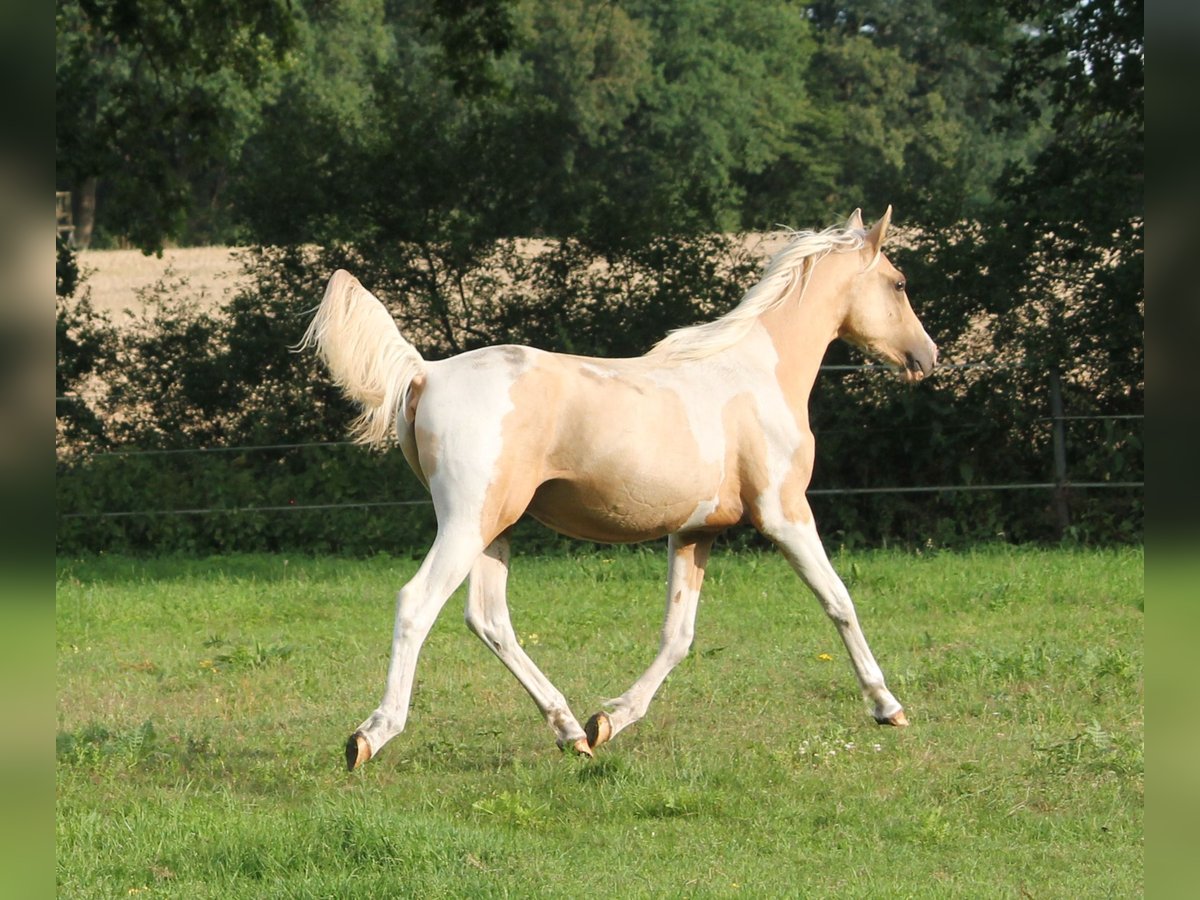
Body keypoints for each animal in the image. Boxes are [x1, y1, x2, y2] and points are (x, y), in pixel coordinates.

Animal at [302, 207, 936, 772]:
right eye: (899, 282)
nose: (927, 356)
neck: (755, 375)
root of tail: (426, 372)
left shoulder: (694, 532)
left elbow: (678, 634)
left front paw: (610, 721)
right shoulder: (785, 515)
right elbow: (839, 601)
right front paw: (888, 707)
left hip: (495, 526)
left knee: (489, 619)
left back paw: (569, 732)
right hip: (465, 522)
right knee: (418, 604)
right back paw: (370, 736)